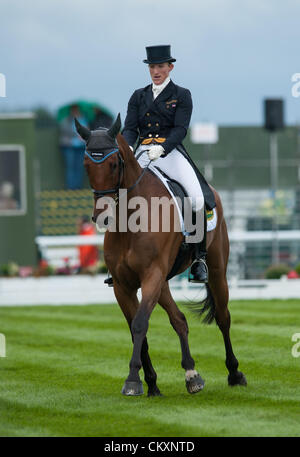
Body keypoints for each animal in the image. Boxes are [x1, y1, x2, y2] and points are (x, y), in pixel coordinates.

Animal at [75, 114, 246, 396]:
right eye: (87, 164)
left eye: (113, 164)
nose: (103, 216)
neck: (131, 220)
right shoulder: (123, 285)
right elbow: (136, 329)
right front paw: (150, 382)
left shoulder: (151, 276)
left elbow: (140, 324)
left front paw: (133, 380)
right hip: (163, 283)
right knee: (180, 320)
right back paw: (191, 374)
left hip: (216, 271)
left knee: (223, 317)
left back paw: (234, 373)